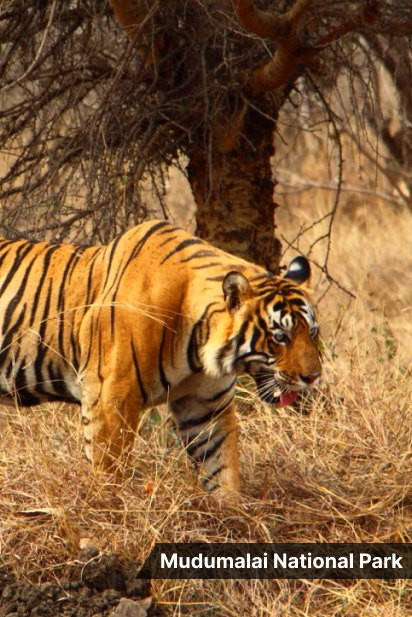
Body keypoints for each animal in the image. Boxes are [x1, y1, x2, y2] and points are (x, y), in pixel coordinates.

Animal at [0, 219, 320, 494]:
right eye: (280, 337)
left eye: (313, 332)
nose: (313, 377)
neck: (201, 349)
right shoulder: (111, 397)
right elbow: (109, 469)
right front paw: (108, 510)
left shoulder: (207, 406)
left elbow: (222, 469)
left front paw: (233, 516)